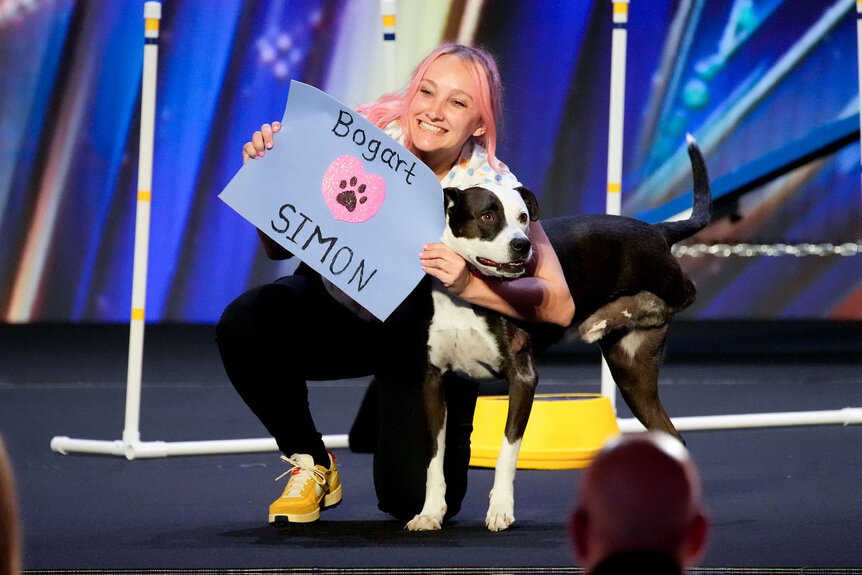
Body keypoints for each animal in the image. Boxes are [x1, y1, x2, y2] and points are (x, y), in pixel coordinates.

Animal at [408, 137, 712, 532]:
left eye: (524, 218)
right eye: (488, 216)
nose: (522, 245)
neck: (467, 292)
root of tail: (656, 230)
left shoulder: (523, 378)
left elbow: (507, 451)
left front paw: (501, 509)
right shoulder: (433, 380)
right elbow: (434, 458)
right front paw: (430, 512)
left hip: (665, 278)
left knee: (688, 291)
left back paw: (616, 311)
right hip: (633, 374)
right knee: (673, 437)